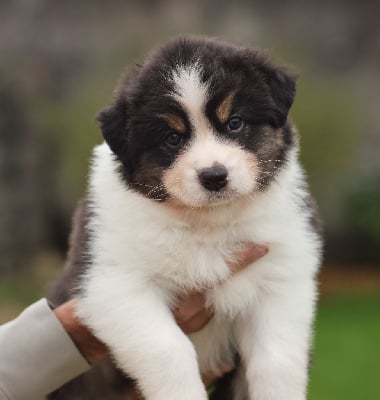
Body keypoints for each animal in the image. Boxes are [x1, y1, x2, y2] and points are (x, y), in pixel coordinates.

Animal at [47, 37, 320, 400]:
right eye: (172, 138)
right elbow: (168, 348)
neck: (208, 222)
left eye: (235, 123)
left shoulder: (282, 278)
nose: (214, 176)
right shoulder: (114, 283)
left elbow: (277, 359)